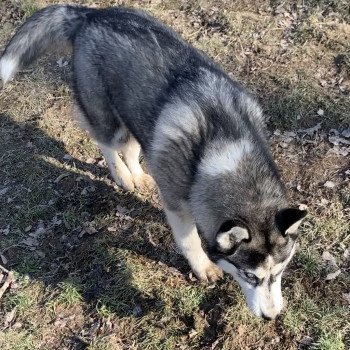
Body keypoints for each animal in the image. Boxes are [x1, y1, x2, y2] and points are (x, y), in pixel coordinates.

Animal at [0, 4, 306, 320]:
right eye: (250, 276)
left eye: (280, 272)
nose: (272, 316)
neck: (226, 143)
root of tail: (91, 14)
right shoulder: (177, 205)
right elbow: (189, 241)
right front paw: (203, 268)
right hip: (110, 120)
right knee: (108, 144)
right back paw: (123, 176)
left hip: (139, 119)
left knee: (134, 148)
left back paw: (138, 176)